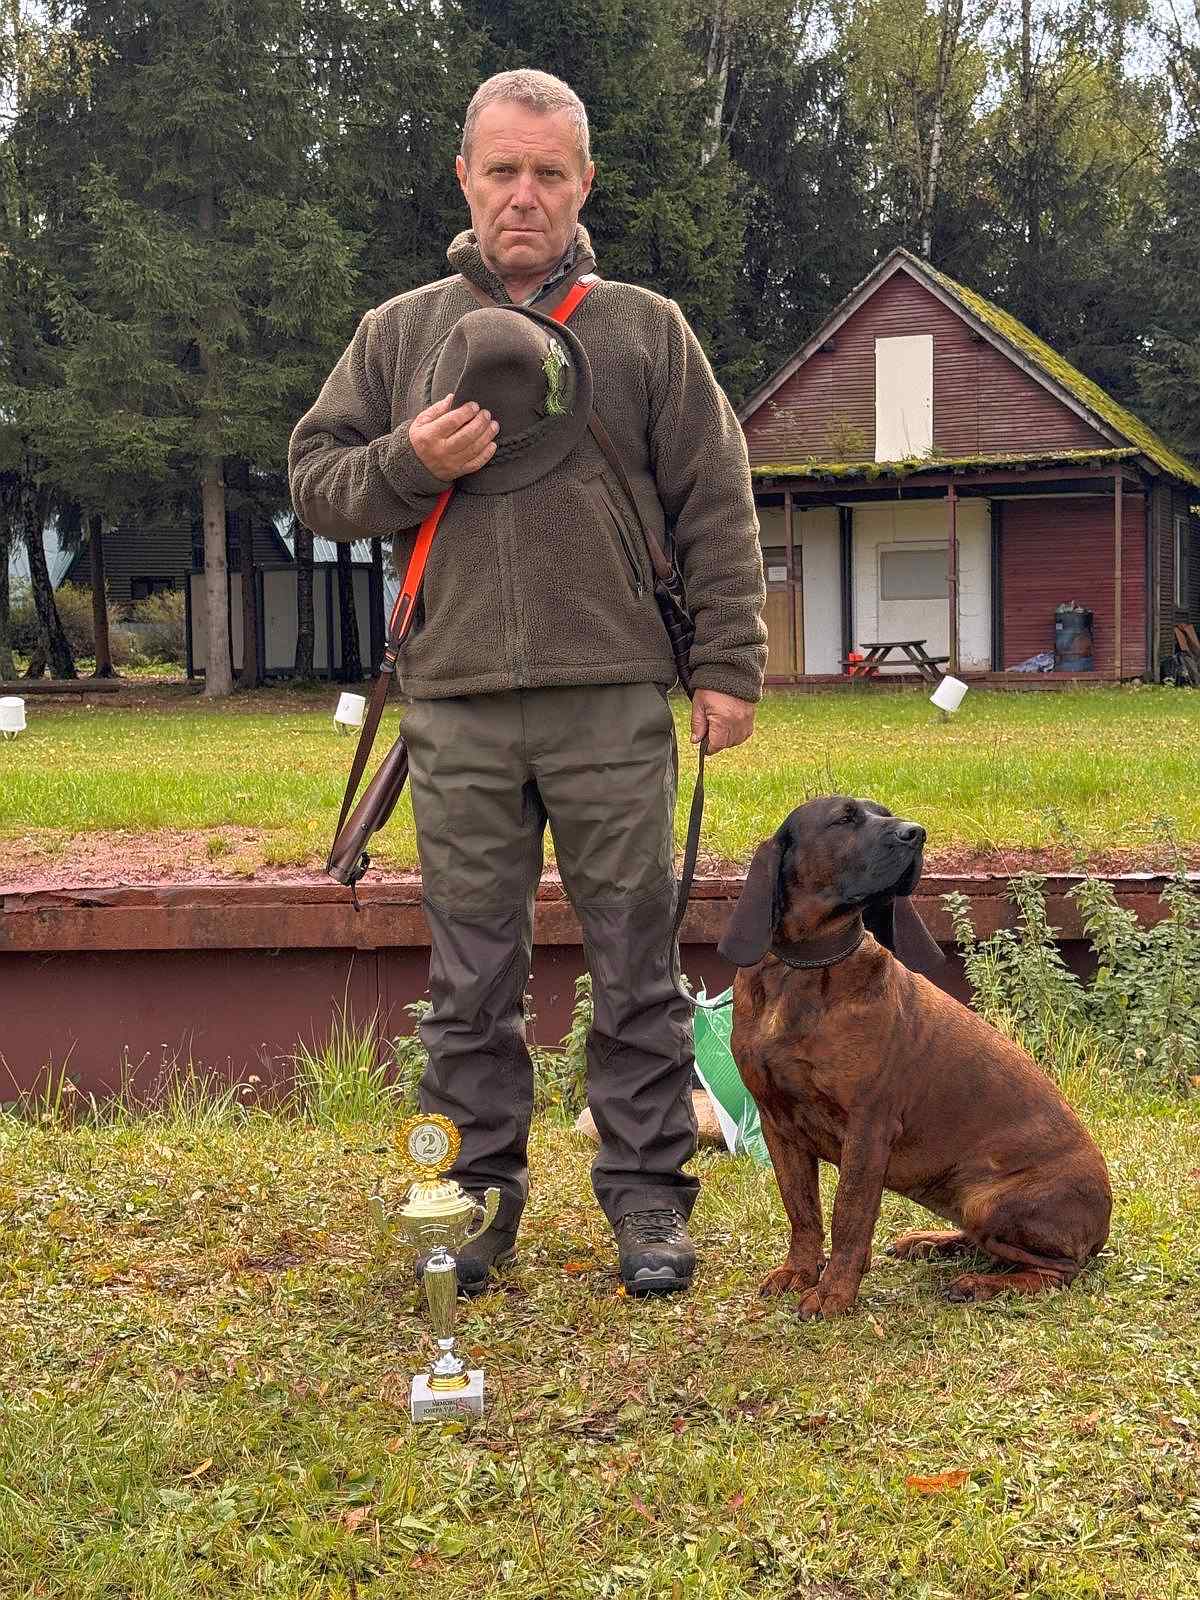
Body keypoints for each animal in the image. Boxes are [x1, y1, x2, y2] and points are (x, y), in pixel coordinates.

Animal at [719, 796, 1112, 1319]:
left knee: (1058, 1271)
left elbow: (848, 1217)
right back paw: (931, 1243)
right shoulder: (778, 1123)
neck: (804, 967)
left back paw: (979, 1284)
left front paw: (833, 1293)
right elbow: (802, 1212)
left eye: (884, 813)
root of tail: (1104, 1221)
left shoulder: (868, 1129)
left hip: (989, 1204)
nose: (916, 833)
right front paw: (800, 1271)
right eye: (845, 818)